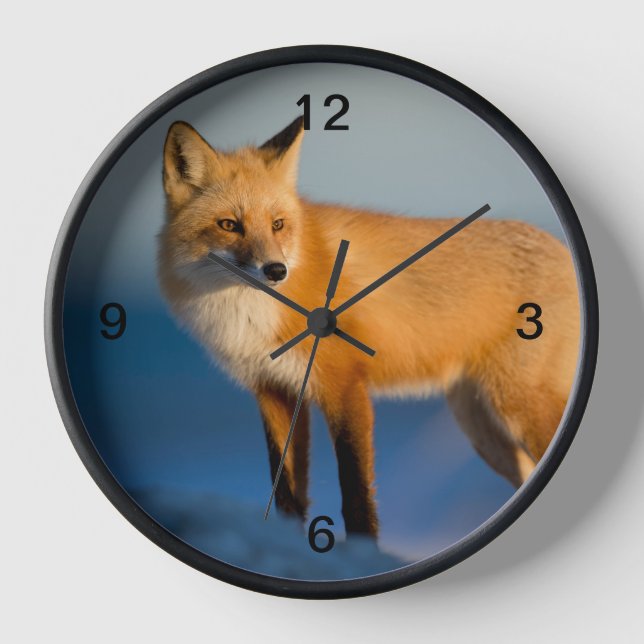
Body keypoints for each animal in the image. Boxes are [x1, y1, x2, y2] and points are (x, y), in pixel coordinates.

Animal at [158, 116, 580, 538]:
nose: (276, 270)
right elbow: (287, 491)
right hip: (482, 427)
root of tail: (562, 248)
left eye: (277, 224)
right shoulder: (274, 390)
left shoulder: (345, 385)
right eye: (229, 225)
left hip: (516, 407)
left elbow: (356, 493)